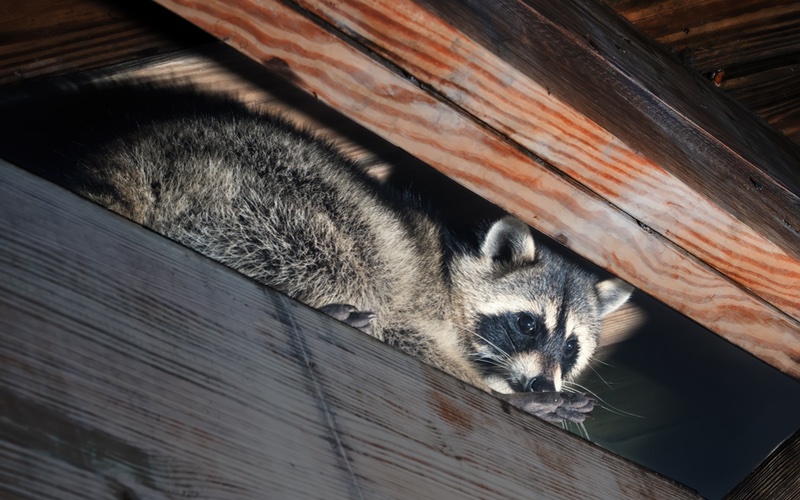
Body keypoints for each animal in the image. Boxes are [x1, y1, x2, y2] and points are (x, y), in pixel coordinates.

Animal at [1, 84, 632, 424]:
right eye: (527, 324)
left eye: (571, 347)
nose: (543, 386)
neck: (451, 275)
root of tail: (139, 150)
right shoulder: (417, 301)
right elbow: (407, 333)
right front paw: (500, 393)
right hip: (263, 193)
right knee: (339, 251)